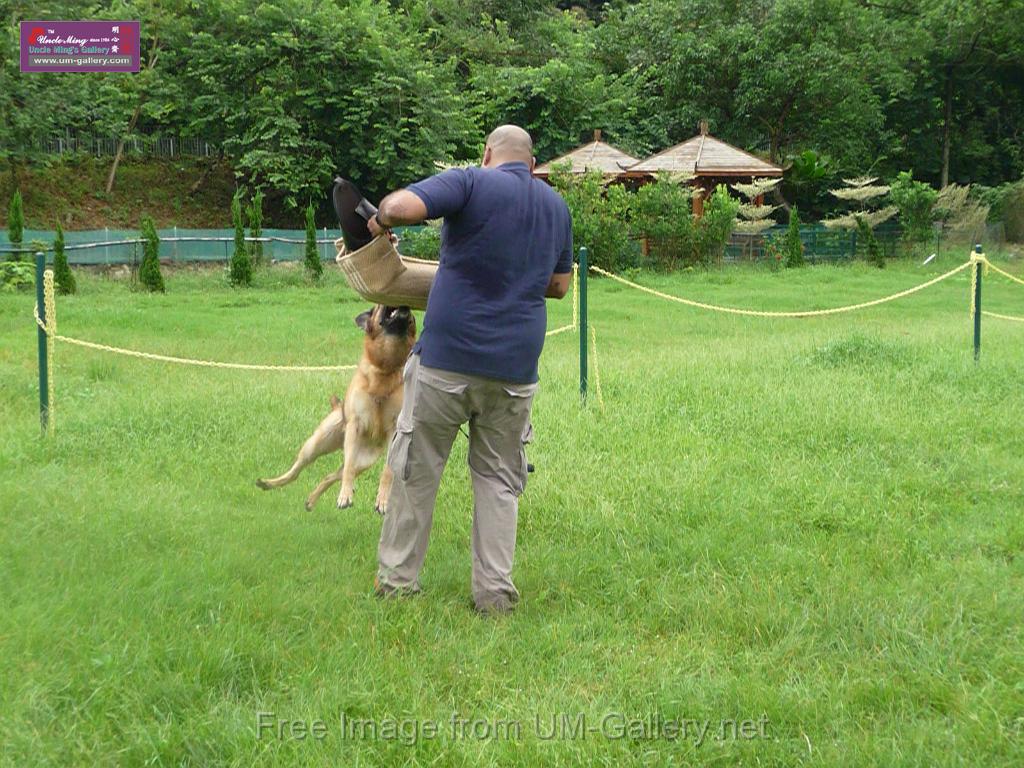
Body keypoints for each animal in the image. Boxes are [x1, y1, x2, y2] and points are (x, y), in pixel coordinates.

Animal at [256, 303, 415, 514]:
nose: (407, 306)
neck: (386, 368)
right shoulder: (355, 426)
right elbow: (348, 470)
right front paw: (345, 496)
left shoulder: (393, 433)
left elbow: (387, 472)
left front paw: (382, 499)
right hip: (316, 445)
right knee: (299, 471)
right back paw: (268, 483)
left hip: (363, 461)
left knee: (331, 476)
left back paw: (312, 500)